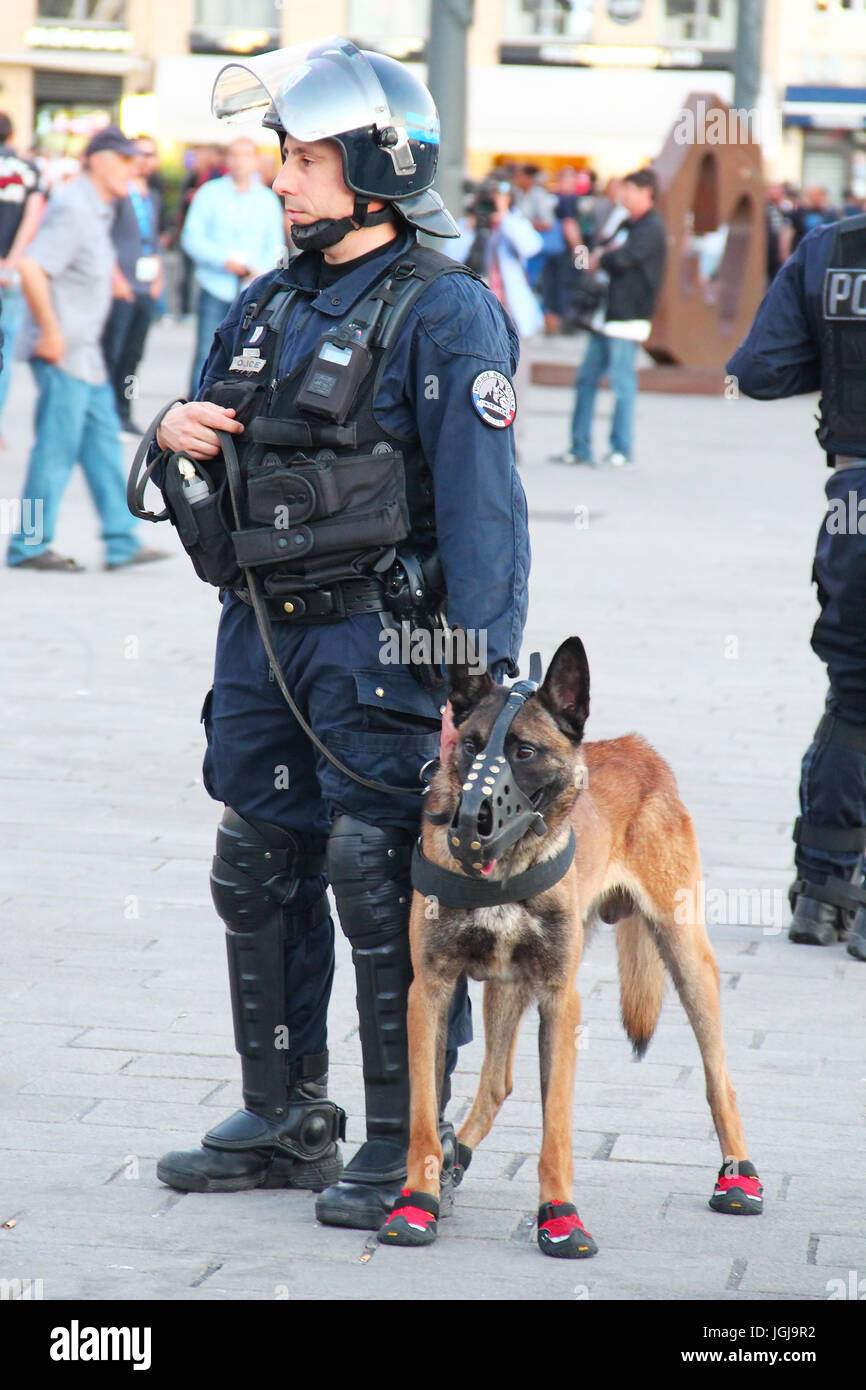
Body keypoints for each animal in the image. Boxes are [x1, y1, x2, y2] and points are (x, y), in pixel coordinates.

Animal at [375, 639, 761, 1262]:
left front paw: (558, 1216)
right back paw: (458, 1158)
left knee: (717, 1076)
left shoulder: (561, 1001)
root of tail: (639, 748)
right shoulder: (428, 991)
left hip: (685, 957)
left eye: (524, 751)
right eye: (471, 746)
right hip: (507, 987)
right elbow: (423, 1119)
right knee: (496, 1083)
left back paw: (739, 1176)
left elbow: (555, 1127)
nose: (470, 822)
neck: (505, 869)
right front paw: (418, 1201)